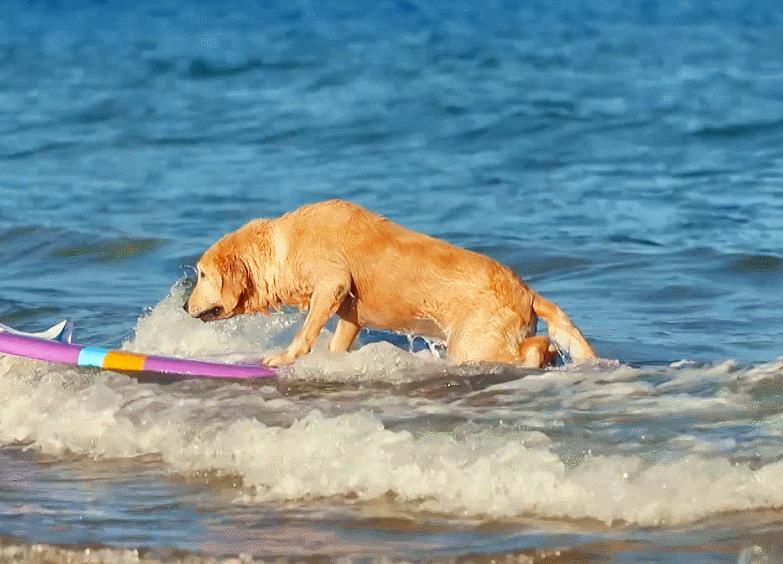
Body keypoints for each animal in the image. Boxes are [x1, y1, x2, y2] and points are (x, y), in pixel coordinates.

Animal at [185, 200, 600, 368]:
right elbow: (338, 338)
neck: (282, 247)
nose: (185, 306)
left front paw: (284, 357)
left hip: (471, 345)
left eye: (202, 274)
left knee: (535, 347)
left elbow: (306, 331)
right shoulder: (349, 311)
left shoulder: (331, 281)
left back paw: (545, 353)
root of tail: (528, 292)